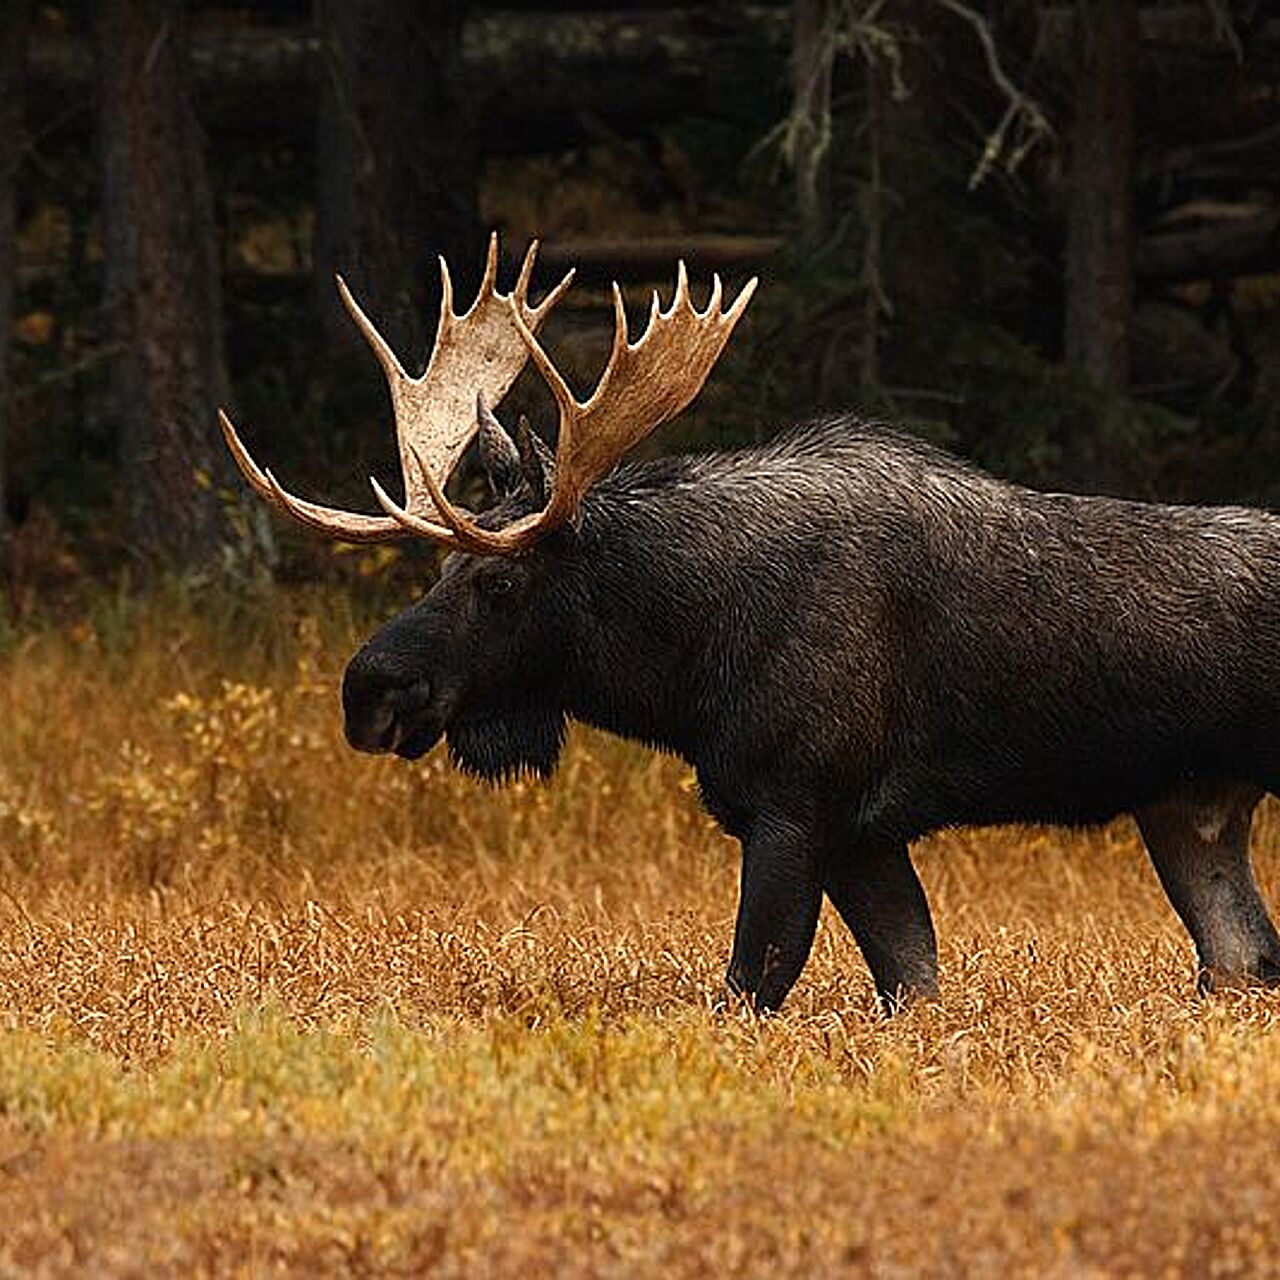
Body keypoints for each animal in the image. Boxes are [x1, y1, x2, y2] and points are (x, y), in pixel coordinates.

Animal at [220, 230, 1280, 1008]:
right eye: (440, 563)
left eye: (502, 583)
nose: (370, 689)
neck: (685, 672)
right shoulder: (861, 834)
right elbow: (914, 983)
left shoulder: (793, 804)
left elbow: (746, 988)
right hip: (1190, 811)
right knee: (1243, 962)